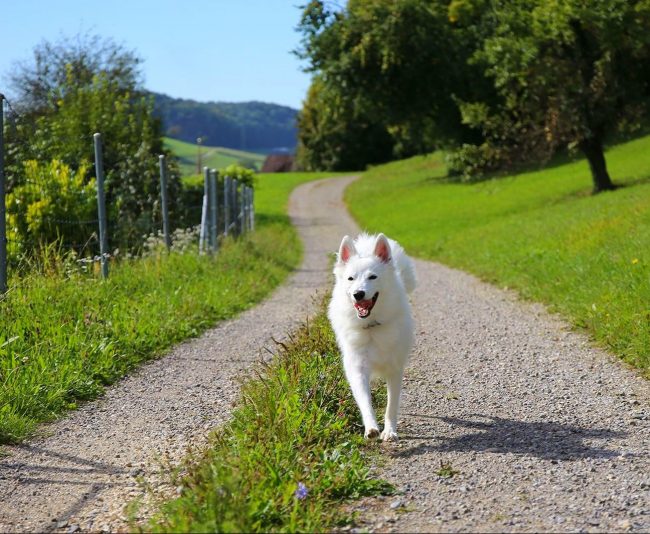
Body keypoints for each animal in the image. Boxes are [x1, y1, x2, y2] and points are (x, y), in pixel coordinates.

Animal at [330, 232, 416, 442]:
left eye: (372, 277)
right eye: (351, 278)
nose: (358, 294)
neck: (371, 326)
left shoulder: (394, 370)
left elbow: (391, 405)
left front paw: (390, 431)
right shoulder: (357, 369)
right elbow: (364, 401)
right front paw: (371, 428)